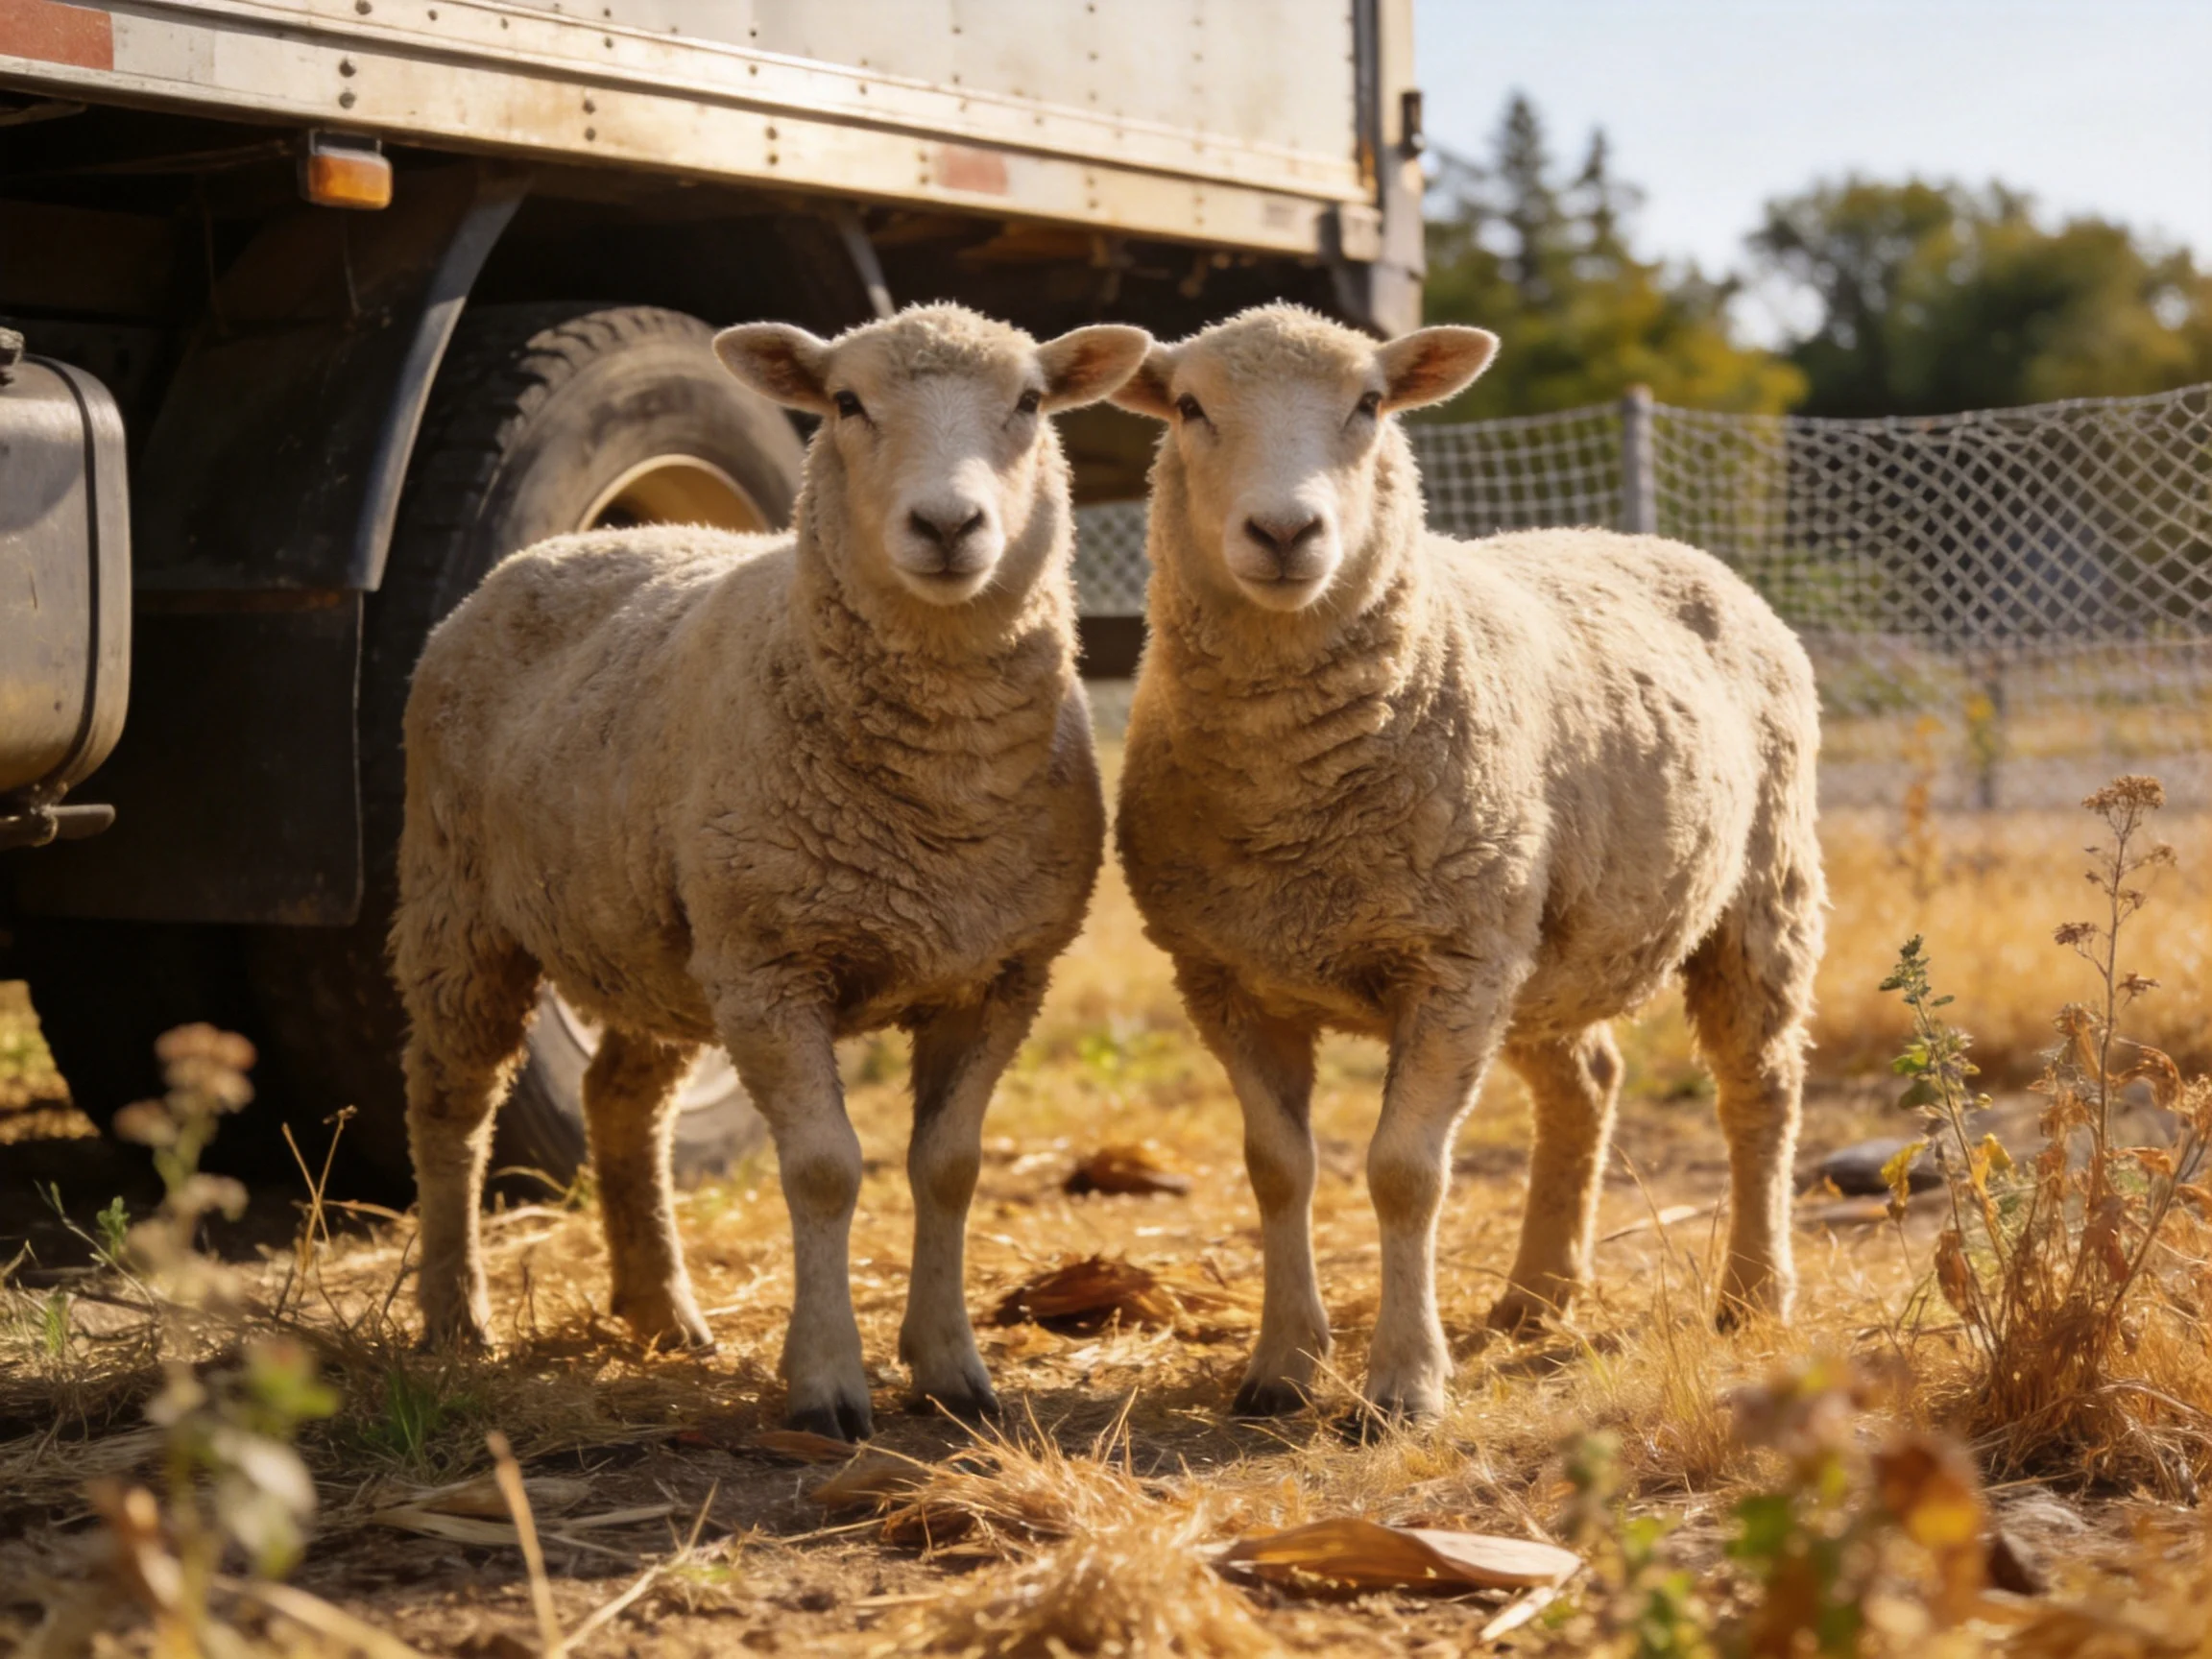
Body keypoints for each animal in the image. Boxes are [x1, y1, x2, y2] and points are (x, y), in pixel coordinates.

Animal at [393, 303, 1151, 1439]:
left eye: (1028, 402)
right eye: (845, 404)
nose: (948, 526)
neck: (939, 797)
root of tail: (567, 544)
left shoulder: (999, 976)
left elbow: (950, 1168)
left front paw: (951, 1369)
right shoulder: (772, 967)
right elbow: (827, 1170)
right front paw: (827, 1382)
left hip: (662, 938)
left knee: (623, 1103)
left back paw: (663, 1312)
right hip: (460, 906)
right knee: (452, 1106)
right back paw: (454, 1319)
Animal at [1109, 305, 1826, 1423]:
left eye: (1369, 404)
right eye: (1189, 407)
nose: (1285, 534)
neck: (1292, 804)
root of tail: (1649, 541)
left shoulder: (1448, 966)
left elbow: (1406, 1173)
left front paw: (1404, 1382)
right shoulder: (1224, 975)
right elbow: (1276, 1169)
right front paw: (1282, 1365)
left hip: (1759, 889)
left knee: (1761, 1086)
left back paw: (1753, 1292)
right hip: (1538, 943)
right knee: (1585, 1085)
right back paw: (1537, 1295)